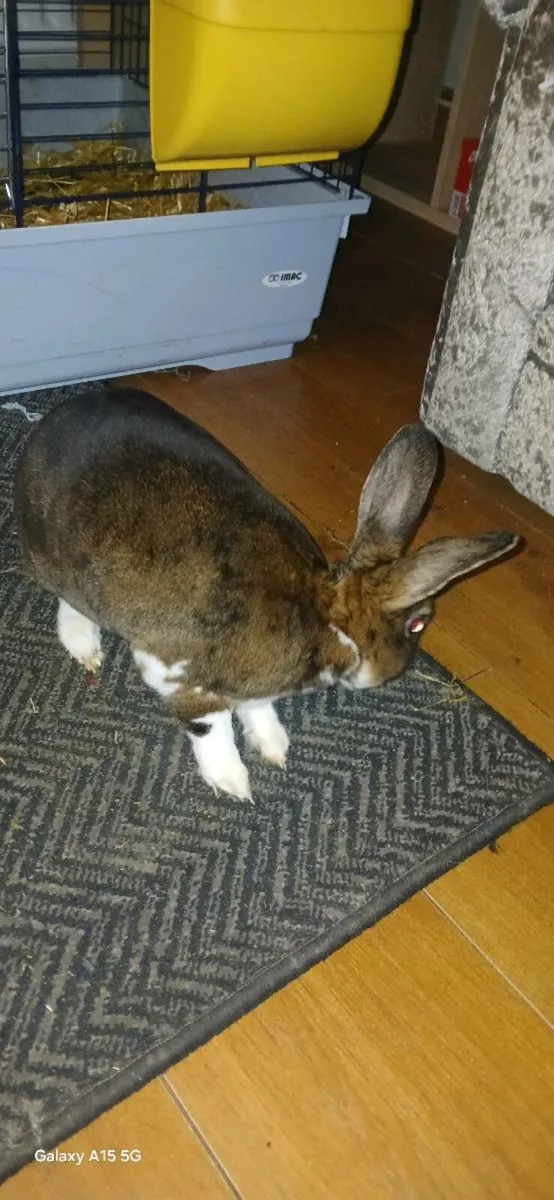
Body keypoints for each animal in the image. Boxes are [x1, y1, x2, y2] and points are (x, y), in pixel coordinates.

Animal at [14, 386, 518, 802]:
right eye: (417, 623)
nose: (392, 674)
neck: (323, 617)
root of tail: (47, 424)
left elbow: (256, 706)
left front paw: (273, 744)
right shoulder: (173, 671)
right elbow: (210, 723)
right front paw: (233, 781)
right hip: (63, 564)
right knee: (69, 600)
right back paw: (84, 644)